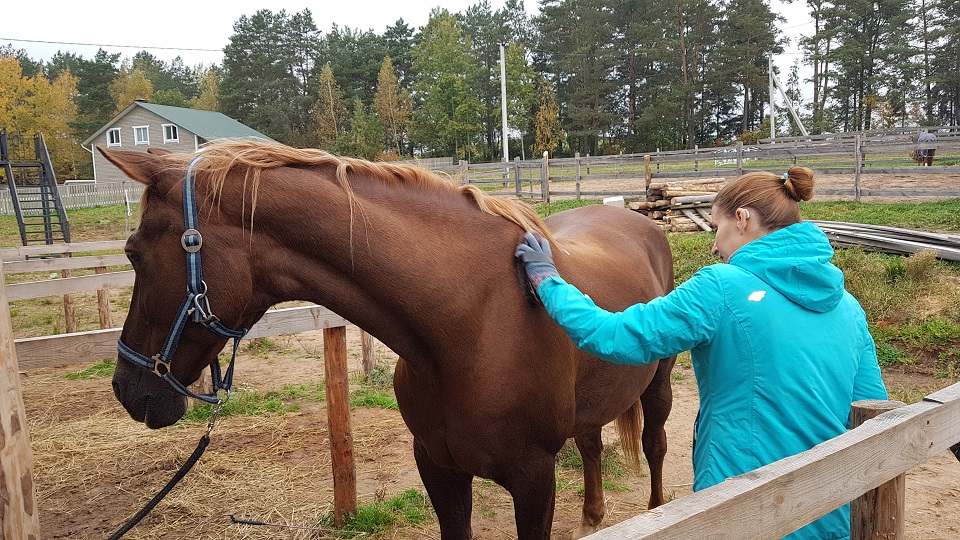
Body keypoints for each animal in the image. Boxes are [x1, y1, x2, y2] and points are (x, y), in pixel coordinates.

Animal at [100, 139, 677, 539]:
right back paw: (593, 518)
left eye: (133, 253)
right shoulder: (439, 468)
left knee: (654, 446)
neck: (468, 326)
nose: (126, 388)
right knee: (592, 444)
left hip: (659, 386)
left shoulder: (533, 479)